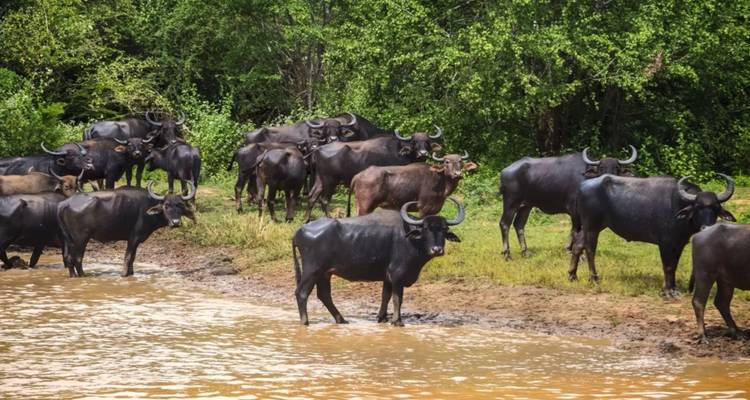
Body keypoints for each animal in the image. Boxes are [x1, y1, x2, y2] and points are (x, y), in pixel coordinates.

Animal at [57, 182, 196, 277]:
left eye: (180, 205)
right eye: (166, 206)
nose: (176, 222)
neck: (149, 205)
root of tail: (65, 203)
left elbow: (133, 257)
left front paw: (131, 273)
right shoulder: (134, 237)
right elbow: (128, 256)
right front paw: (124, 274)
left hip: (68, 239)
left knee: (68, 258)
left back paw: (73, 276)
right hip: (81, 239)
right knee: (78, 258)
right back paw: (83, 275)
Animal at [293, 197, 465, 326]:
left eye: (444, 229)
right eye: (426, 229)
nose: (437, 249)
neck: (411, 238)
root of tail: (300, 231)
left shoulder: (387, 277)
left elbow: (385, 296)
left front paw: (382, 318)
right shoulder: (397, 275)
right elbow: (397, 298)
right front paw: (397, 321)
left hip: (325, 273)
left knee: (324, 295)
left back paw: (341, 319)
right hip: (312, 269)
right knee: (301, 292)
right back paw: (305, 322)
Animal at [499, 146, 638, 259]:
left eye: (617, 168)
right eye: (601, 168)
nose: (609, 178)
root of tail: (505, 171)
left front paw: (572, 250)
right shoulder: (574, 210)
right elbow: (575, 230)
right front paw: (577, 253)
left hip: (526, 205)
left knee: (519, 225)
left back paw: (525, 252)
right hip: (511, 202)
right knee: (504, 224)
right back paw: (507, 254)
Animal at [569, 174, 735, 298]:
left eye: (716, 208)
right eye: (697, 207)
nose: (707, 227)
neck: (679, 207)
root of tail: (581, 186)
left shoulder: (679, 243)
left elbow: (674, 265)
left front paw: (674, 288)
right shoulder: (666, 243)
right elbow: (668, 266)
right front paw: (667, 291)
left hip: (591, 227)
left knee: (577, 245)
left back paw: (572, 276)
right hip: (592, 226)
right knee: (590, 249)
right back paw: (594, 279)